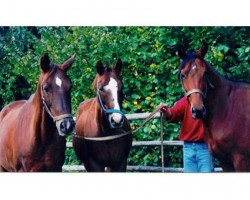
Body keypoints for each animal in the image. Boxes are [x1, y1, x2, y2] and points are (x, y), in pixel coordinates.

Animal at [178, 44, 250, 172]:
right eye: (183, 75)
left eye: (205, 73)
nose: (198, 110)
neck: (227, 108)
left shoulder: (242, 159)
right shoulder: (224, 161)